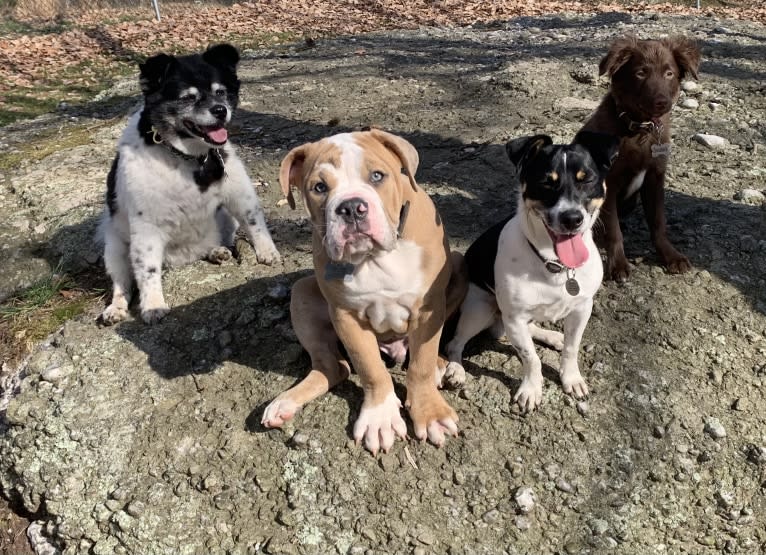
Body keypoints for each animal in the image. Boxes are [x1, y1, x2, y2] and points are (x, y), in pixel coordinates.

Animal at [100, 44, 280, 326]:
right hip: (115, 248)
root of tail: (180, 259)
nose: (220, 110)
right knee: (122, 284)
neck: (189, 157)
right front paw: (153, 305)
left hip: (225, 220)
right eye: (188, 98)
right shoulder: (146, 227)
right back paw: (115, 309)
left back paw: (216, 251)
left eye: (220, 92)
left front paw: (267, 252)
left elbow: (255, 224)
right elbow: (147, 270)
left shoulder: (239, 195)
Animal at [444, 134, 616, 412]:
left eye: (586, 179)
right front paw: (531, 390)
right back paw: (456, 370)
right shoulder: (515, 318)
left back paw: (551, 336)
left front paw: (571, 378)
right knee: (455, 343)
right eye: (546, 182)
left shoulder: (582, 309)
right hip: (480, 309)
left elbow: (572, 347)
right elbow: (531, 358)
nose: (572, 218)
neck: (554, 264)